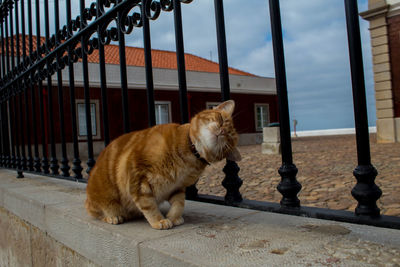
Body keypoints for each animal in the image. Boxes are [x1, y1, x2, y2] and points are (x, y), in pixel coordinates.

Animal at [85, 100, 241, 230]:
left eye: (228, 139)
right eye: (221, 120)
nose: (222, 131)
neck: (189, 156)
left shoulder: (178, 187)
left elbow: (179, 204)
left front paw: (174, 217)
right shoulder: (138, 176)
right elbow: (148, 204)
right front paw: (158, 220)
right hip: (105, 197)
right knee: (98, 211)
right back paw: (113, 216)